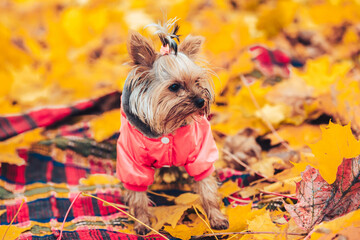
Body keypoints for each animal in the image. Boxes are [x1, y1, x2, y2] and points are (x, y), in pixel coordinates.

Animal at [116, 18, 229, 234]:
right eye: (174, 87)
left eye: (197, 82)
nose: (201, 101)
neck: (169, 127)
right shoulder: (132, 162)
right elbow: (138, 195)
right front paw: (142, 222)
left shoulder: (200, 153)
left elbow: (207, 186)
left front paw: (216, 217)